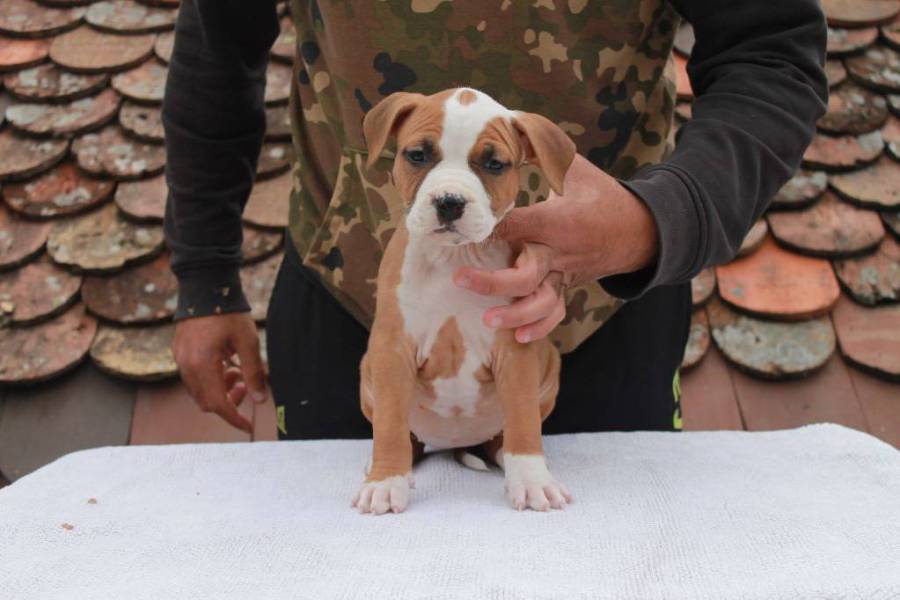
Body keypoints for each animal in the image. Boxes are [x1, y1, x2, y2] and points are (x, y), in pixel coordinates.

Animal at [354, 87, 576, 514]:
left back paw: (505, 456)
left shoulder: (516, 349)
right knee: (405, 436)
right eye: (417, 155)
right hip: (369, 374)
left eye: (493, 164)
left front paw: (531, 479)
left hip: (549, 370)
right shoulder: (392, 350)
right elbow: (389, 425)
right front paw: (385, 481)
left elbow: (523, 419)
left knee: (503, 434)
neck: (453, 258)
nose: (450, 201)